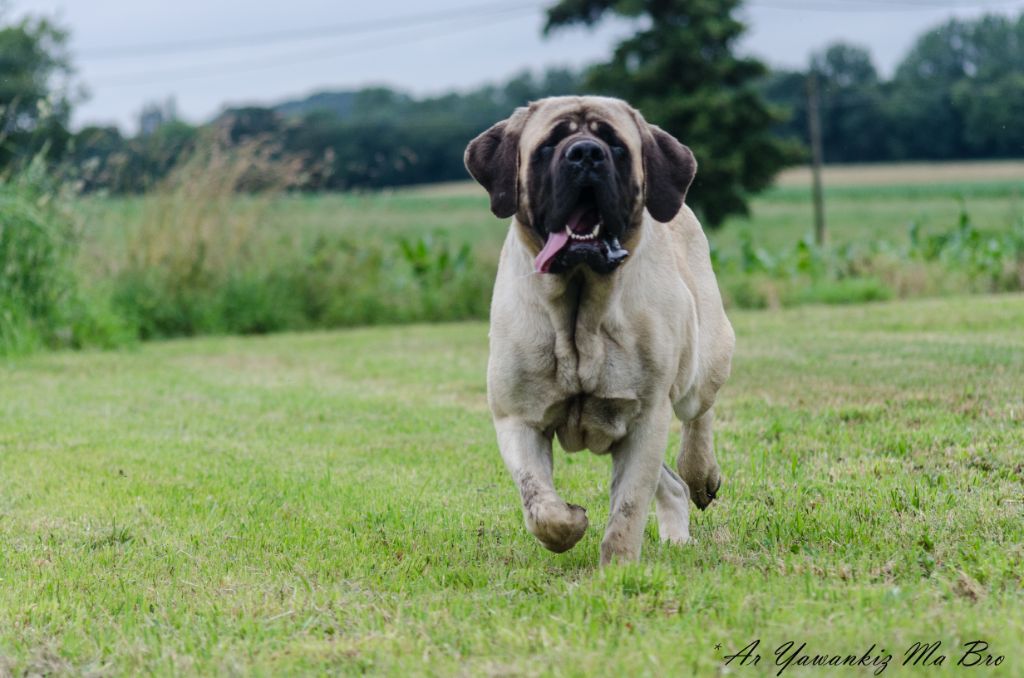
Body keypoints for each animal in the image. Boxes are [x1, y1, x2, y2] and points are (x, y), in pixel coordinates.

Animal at [464, 94, 737, 561]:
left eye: (615, 145)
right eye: (550, 144)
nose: (586, 154)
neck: (578, 318)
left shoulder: (646, 418)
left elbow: (627, 508)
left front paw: (619, 566)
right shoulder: (517, 418)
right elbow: (539, 504)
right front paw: (570, 523)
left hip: (703, 363)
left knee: (699, 415)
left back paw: (701, 473)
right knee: (672, 484)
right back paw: (678, 532)